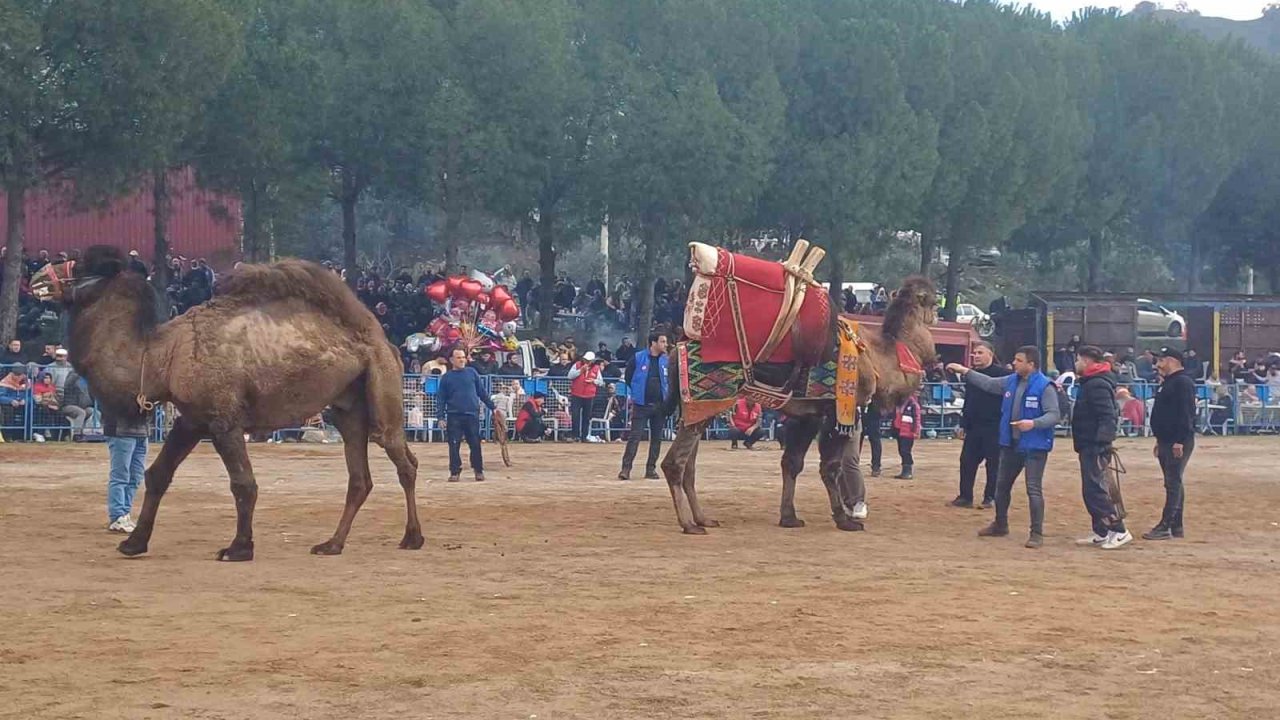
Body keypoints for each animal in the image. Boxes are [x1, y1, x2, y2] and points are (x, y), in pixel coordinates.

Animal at [31, 245, 424, 561]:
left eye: (81, 263)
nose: (36, 278)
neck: (159, 358)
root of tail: (382, 340)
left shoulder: (224, 420)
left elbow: (243, 484)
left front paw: (238, 548)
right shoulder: (191, 419)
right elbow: (157, 475)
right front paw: (134, 543)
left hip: (382, 386)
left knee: (403, 460)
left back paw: (412, 538)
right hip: (347, 406)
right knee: (360, 478)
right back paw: (331, 544)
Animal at [665, 240, 936, 532]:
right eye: (932, 300)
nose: (935, 316)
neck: (878, 357)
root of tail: (676, 350)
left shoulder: (807, 415)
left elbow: (791, 463)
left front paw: (789, 517)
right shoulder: (837, 410)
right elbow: (831, 467)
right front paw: (844, 520)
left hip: (698, 408)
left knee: (689, 465)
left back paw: (703, 518)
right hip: (705, 400)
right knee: (674, 463)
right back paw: (689, 524)